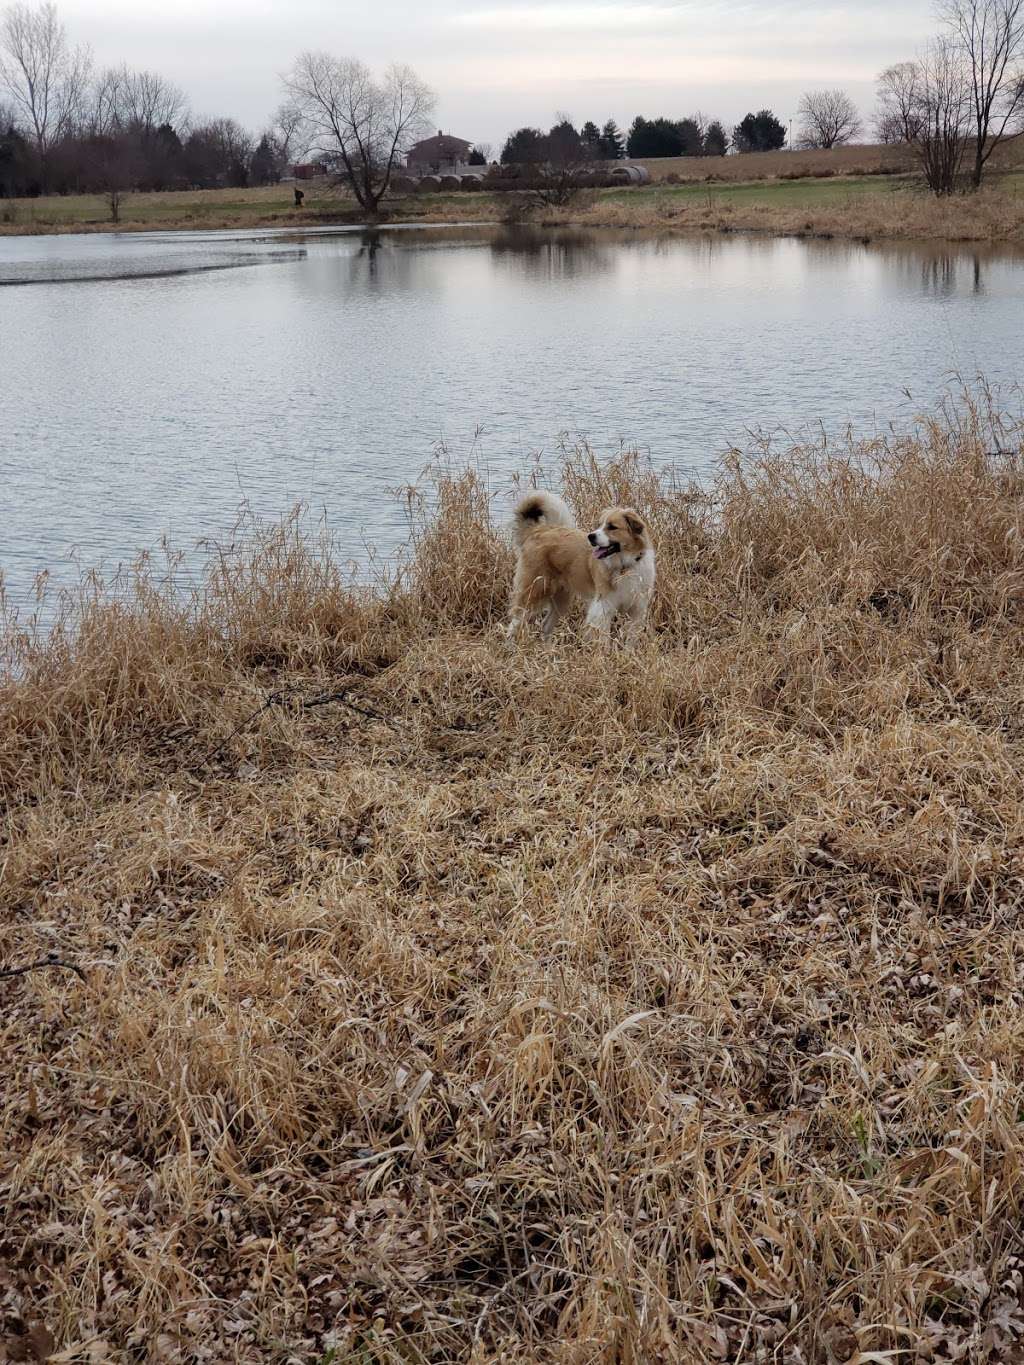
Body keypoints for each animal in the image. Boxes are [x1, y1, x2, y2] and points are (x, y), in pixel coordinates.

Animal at [507, 491, 658, 638]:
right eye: (599, 525)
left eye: (612, 527)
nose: (591, 536)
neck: (625, 567)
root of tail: (538, 530)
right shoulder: (602, 609)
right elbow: (603, 640)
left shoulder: (636, 611)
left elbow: (630, 640)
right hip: (533, 593)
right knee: (514, 624)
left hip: (561, 599)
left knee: (545, 626)